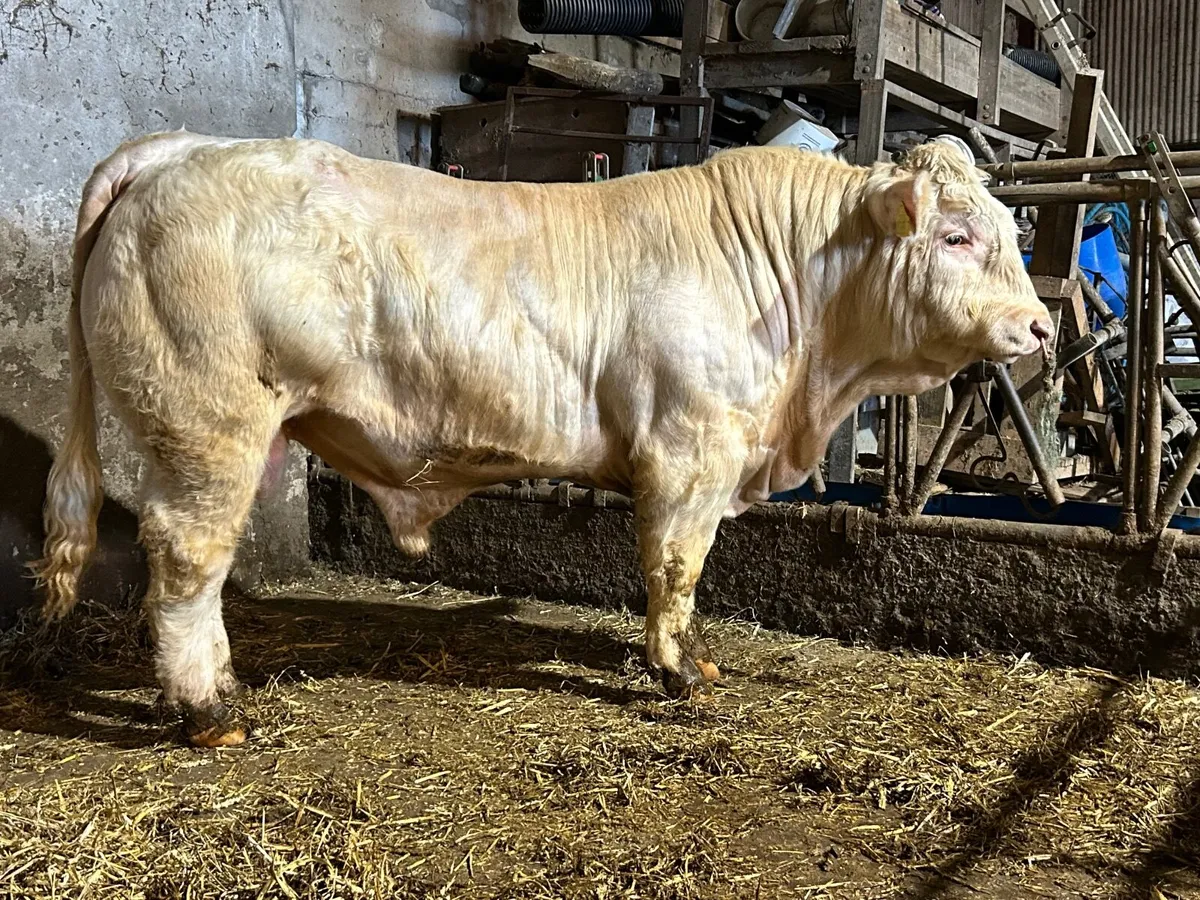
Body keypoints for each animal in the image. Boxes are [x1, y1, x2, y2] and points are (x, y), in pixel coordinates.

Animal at [34, 130, 1052, 747]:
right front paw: (679, 673)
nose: (1041, 326)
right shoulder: (690, 449)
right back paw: (208, 709)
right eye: (958, 237)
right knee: (185, 559)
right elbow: (675, 567)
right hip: (210, 425)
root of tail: (181, 150)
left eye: (1007, 230)